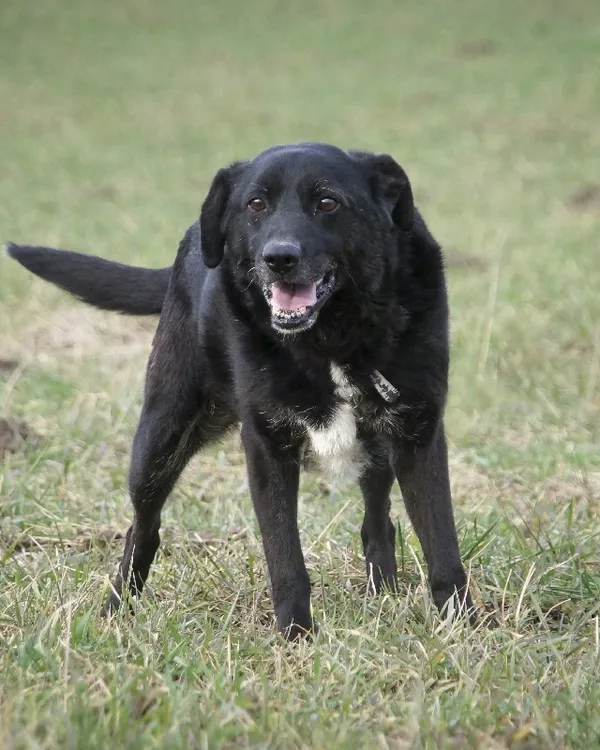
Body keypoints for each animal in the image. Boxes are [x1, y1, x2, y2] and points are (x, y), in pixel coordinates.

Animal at [4, 144, 474, 636]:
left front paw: (461, 626)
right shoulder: (266, 446)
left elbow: (442, 544)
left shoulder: (417, 434)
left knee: (378, 519)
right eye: (256, 205)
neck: (330, 338)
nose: (279, 258)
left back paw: (383, 590)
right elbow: (285, 558)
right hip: (160, 436)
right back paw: (116, 612)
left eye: (328, 203)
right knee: (143, 528)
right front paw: (296, 638)